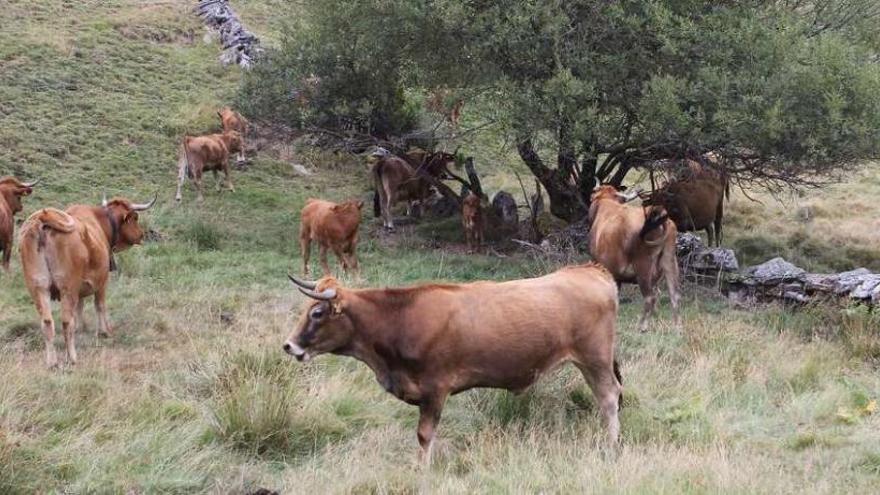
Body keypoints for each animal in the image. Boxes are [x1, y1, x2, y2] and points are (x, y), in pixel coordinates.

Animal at [18, 194, 156, 368]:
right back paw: (72, 357)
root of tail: (43, 219)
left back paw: (52, 362)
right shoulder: (102, 282)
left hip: (38, 288)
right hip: (67, 288)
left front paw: (81, 328)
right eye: (135, 217)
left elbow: (80, 308)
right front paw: (104, 331)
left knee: (47, 322)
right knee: (66, 322)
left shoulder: (79, 290)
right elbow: (100, 306)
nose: (141, 234)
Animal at [286, 266, 624, 464]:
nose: (288, 345)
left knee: (609, 397)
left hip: (595, 358)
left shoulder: (435, 389)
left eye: (317, 313)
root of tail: (590, 270)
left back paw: (612, 445)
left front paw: (422, 470)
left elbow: (424, 436)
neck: (400, 320)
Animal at [592, 184, 680, 332]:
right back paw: (676, 327)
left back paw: (642, 326)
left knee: (650, 298)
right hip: (669, 262)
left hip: (643, 268)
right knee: (674, 295)